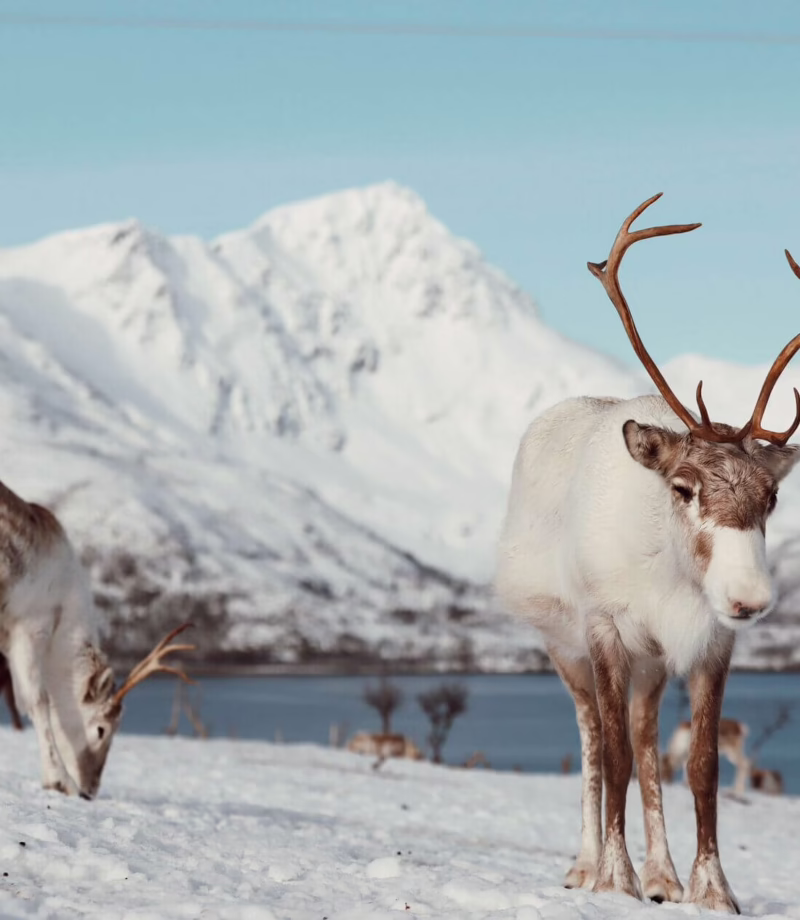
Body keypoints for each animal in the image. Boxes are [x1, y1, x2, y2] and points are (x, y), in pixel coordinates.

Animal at [495, 193, 800, 914]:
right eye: (684, 487)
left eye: (772, 495)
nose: (751, 598)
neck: (670, 573)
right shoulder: (606, 628)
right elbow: (611, 757)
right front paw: (615, 878)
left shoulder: (709, 641)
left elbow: (699, 763)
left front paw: (710, 888)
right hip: (565, 644)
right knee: (593, 737)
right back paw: (587, 865)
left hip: (652, 663)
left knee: (642, 735)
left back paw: (662, 876)